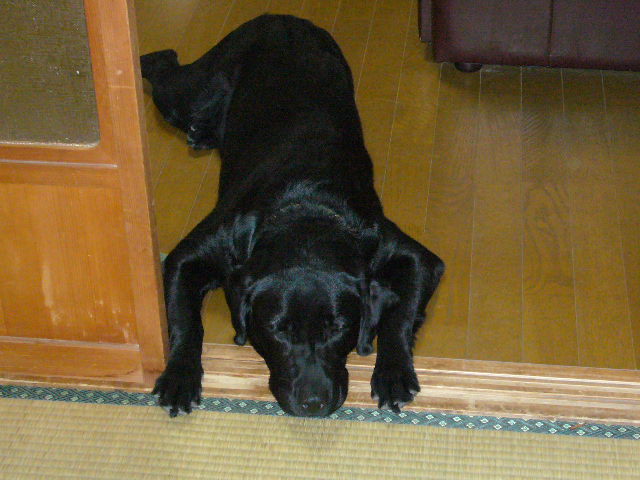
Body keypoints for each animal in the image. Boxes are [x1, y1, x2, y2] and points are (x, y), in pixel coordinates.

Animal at [141, 14, 444, 418]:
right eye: (278, 330)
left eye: (337, 328)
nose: (313, 403)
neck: (305, 208)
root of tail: (282, 17)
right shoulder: (192, 254)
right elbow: (184, 320)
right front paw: (179, 377)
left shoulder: (411, 255)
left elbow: (400, 315)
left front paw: (393, 372)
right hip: (192, 91)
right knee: (165, 69)